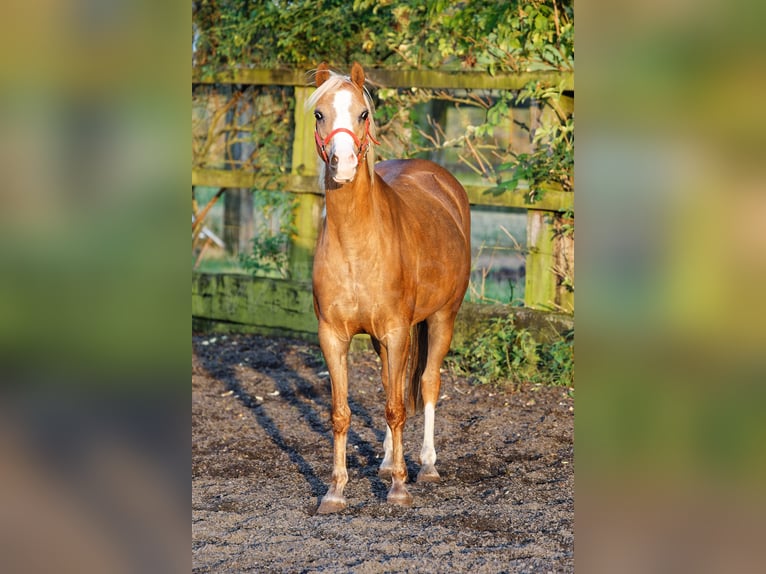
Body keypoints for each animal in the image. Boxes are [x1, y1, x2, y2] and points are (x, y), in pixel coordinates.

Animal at [308, 63, 472, 516]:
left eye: (363, 113)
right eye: (319, 113)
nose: (343, 163)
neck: (356, 244)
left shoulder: (399, 332)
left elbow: (398, 407)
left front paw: (400, 488)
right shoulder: (333, 336)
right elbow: (342, 412)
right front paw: (335, 491)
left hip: (443, 318)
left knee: (428, 384)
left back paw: (426, 465)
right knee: (390, 383)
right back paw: (384, 461)